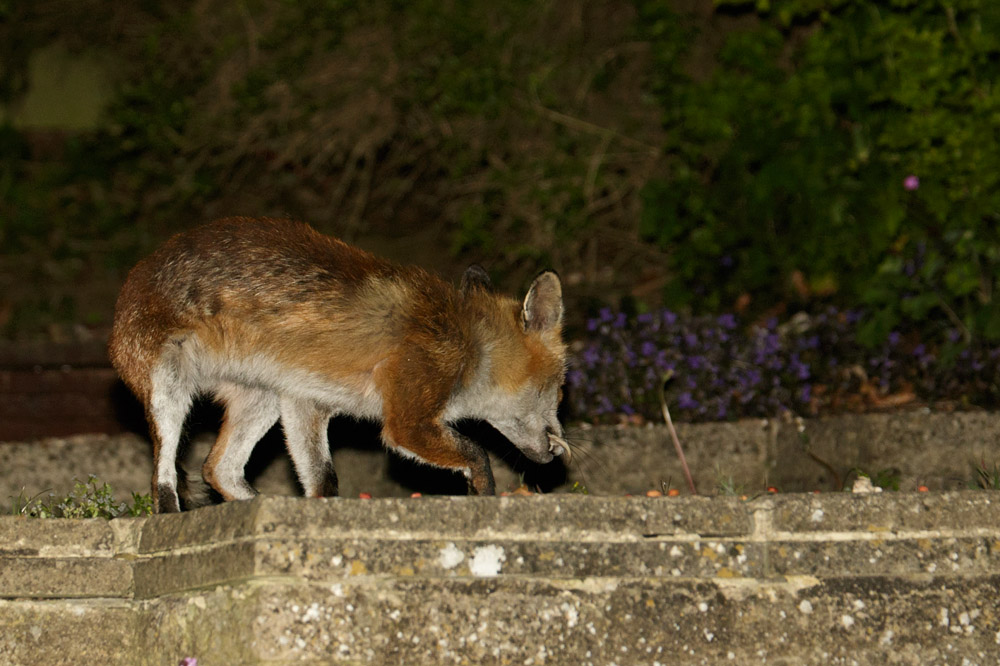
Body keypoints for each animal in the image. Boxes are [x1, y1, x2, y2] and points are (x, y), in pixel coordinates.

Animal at [108, 217, 568, 513]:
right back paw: (171, 516)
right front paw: (485, 497)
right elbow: (477, 454)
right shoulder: (407, 419)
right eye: (558, 390)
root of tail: (135, 274)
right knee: (163, 481)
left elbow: (321, 479)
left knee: (217, 469)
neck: (470, 346)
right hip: (168, 395)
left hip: (263, 399)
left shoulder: (305, 401)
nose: (558, 451)